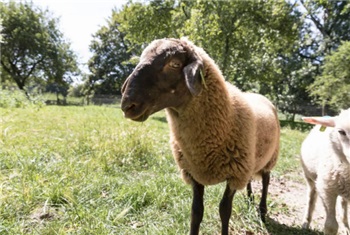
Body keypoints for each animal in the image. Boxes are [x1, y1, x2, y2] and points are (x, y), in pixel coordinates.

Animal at [121, 37, 280, 234]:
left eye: (174, 64)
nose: (127, 105)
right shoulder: (194, 173)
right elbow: (196, 212)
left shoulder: (234, 175)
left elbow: (224, 211)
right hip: (251, 160)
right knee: (251, 179)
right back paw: (250, 201)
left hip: (270, 157)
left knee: (266, 181)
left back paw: (262, 212)